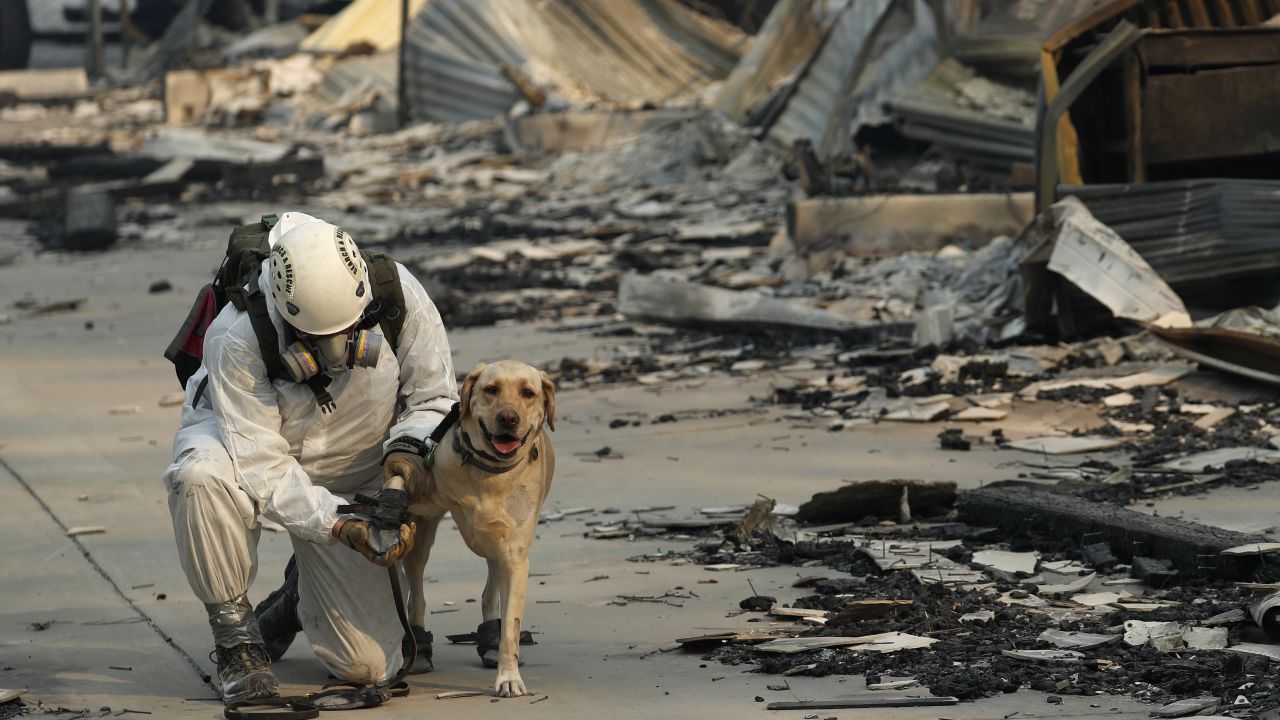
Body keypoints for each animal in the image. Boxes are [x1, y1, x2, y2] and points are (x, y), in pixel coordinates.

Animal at [404, 358, 555, 696]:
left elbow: (511, 626)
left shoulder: (515, 555)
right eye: (491, 389)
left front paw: (508, 678)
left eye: (528, 393)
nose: (508, 418)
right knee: (416, 593)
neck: (489, 474)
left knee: (490, 593)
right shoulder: (420, 511)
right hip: (424, 542)